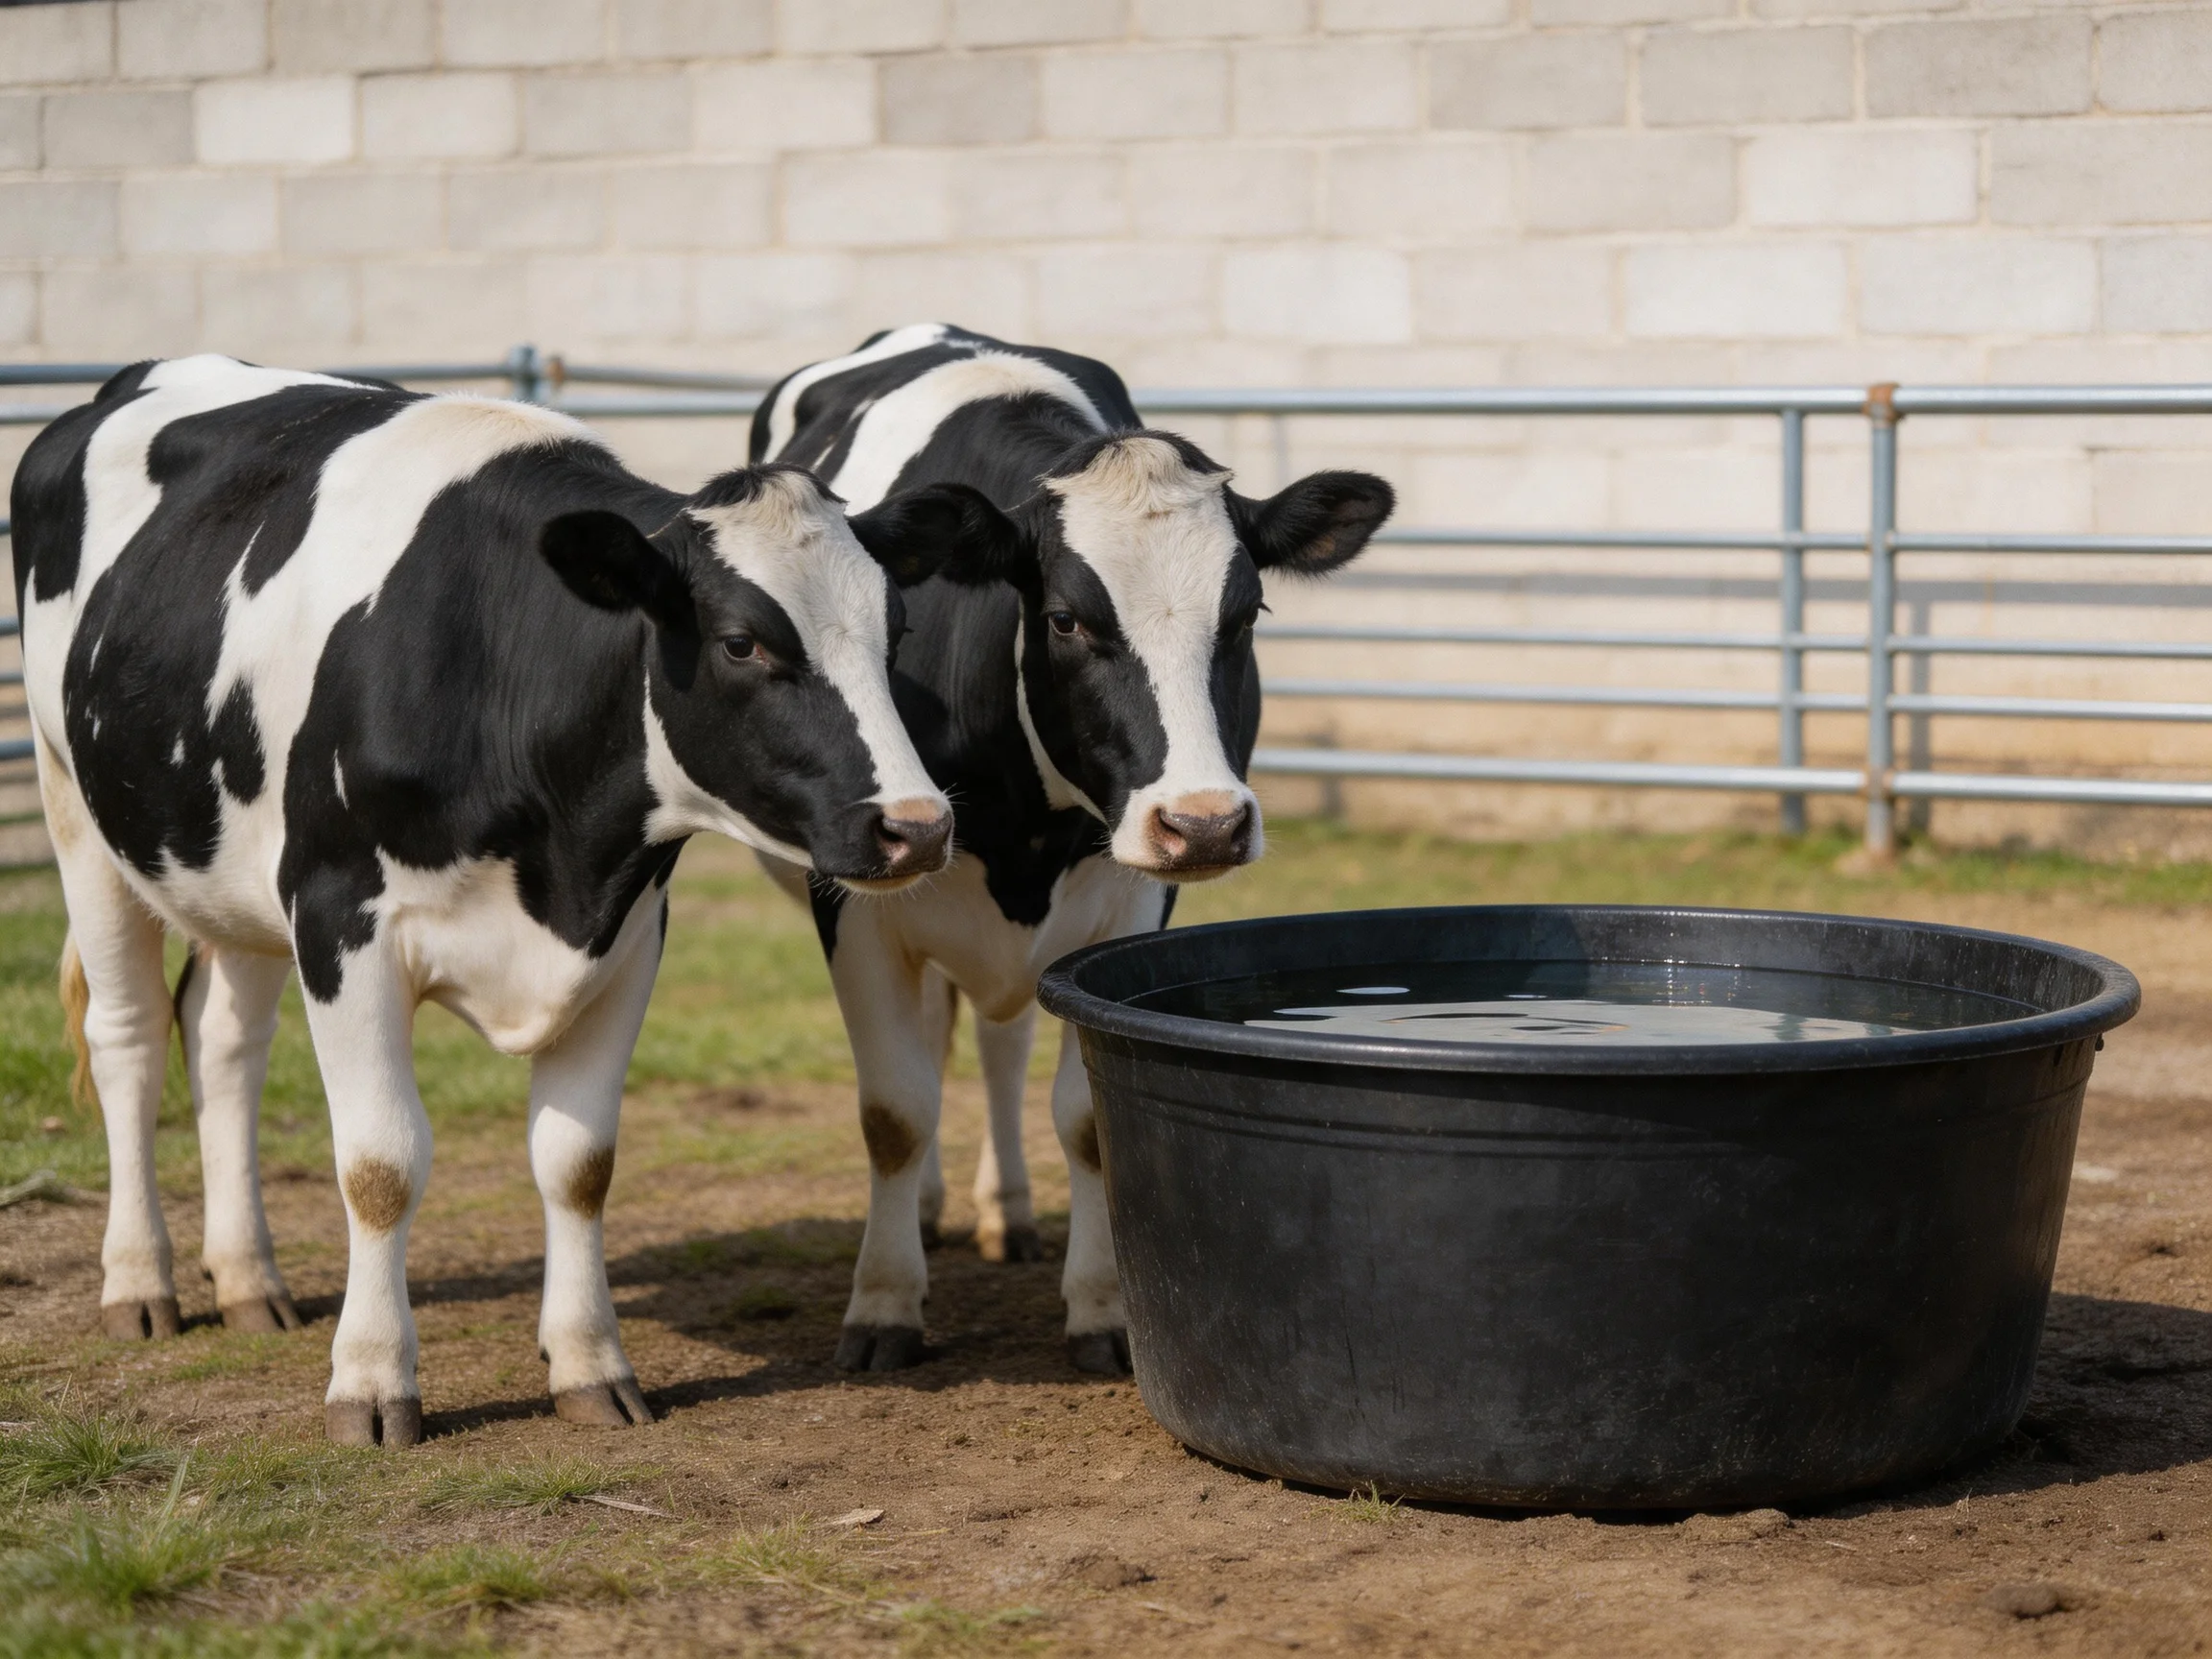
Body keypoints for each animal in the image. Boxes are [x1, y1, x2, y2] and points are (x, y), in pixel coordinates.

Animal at [12, 353, 992, 1445]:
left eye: (896, 630)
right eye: (742, 643)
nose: (918, 826)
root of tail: (141, 376)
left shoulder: (626, 934)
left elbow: (578, 1162)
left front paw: (589, 1364)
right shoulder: (340, 921)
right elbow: (380, 1165)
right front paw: (372, 1383)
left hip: (229, 867)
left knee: (224, 1042)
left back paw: (250, 1282)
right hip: (74, 806)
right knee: (130, 1040)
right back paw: (141, 1284)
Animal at [752, 324, 1394, 1374]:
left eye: (1245, 615)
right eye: (1066, 619)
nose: (1204, 822)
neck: (1025, 828)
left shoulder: (1129, 898)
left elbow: (1087, 1117)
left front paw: (1101, 1310)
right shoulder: (850, 897)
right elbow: (894, 1111)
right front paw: (884, 1306)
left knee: (997, 1040)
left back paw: (1003, 1212)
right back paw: (927, 1213)